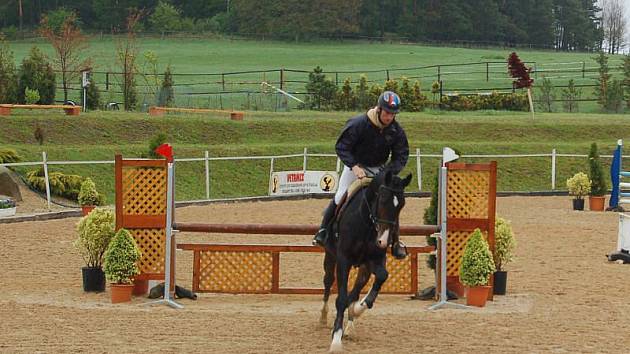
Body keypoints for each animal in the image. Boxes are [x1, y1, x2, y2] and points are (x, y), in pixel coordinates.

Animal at [320, 169, 414, 352]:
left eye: (401, 205)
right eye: (383, 200)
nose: (383, 241)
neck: (367, 223)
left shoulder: (375, 260)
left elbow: (382, 276)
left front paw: (358, 308)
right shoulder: (343, 260)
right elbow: (341, 298)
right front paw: (336, 340)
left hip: (364, 267)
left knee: (356, 289)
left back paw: (351, 323)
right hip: (330, 256)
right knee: (328, 282)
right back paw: (323, 316)